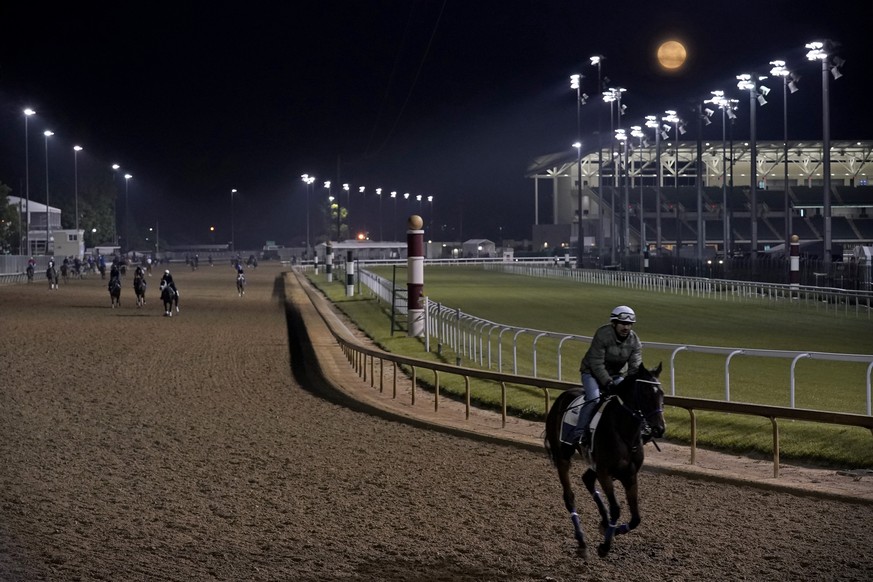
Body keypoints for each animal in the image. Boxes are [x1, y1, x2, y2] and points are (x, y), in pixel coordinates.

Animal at [540, 364, 664, 560]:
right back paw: (582, 542)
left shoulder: (630, 475)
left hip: (594, 464)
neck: (623, 433)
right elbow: (616, 508)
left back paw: (604, 523)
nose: (659, 428)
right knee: (569, 497)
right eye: (645, 393)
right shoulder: (605, 473)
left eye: (662, 394)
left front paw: (614, 531)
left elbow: (636, 518)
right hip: (563, 456)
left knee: (587, 479)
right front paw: (605, 545)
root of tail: (560, 398)